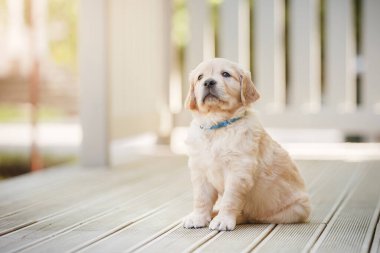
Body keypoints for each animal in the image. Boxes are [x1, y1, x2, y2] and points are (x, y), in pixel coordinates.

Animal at [183, 57, 310, 231]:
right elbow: (201, 198)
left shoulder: (239, 171)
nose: (208, 82)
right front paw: (197, 217)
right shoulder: (200, 170)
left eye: (226, 74)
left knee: (251, 215)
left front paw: (223, 220)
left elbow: (229, 199)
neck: (217, 126)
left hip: (293, 209)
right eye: (200, 77)